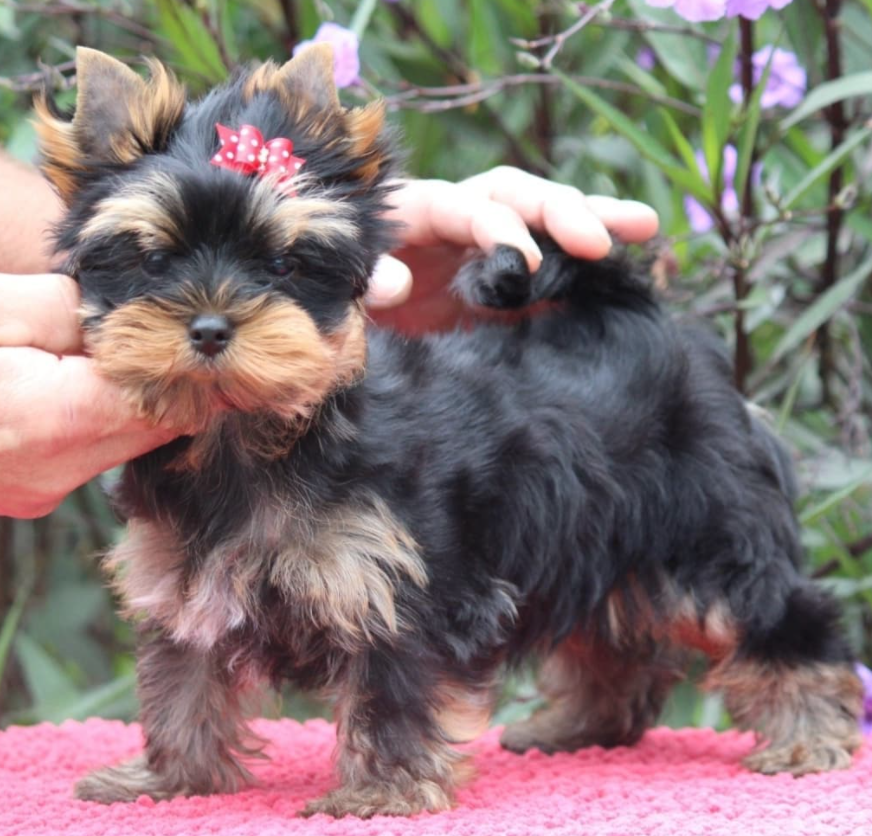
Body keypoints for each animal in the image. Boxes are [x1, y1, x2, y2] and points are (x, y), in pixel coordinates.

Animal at [37, 45, 860, 816]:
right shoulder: (188, 583)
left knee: (781, 612)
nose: (209, 327)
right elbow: (183, 679)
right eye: (153, 260)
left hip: (709, 526)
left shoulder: (404, 586)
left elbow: (393, 688)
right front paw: (167, 778)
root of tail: (650, 325)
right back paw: (579, 727)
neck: (253, 436)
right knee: (613, 639)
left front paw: (382, 791)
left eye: (281, 264)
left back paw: (809, 731)